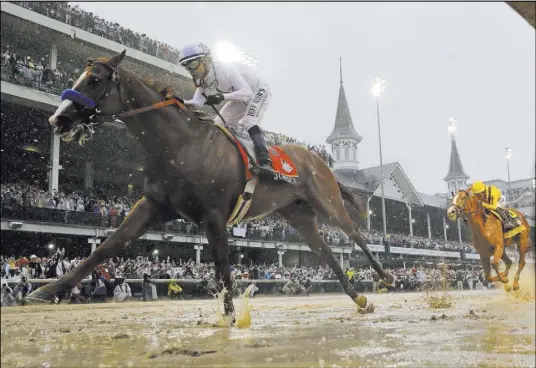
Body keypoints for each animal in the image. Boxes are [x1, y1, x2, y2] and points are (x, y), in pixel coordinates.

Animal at [26, 49, 394, 320]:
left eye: (95, 80)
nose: (58, 119)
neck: (179, 146)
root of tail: (320, 161)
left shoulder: (214, 214)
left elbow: (221, 265)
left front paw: (230, 317)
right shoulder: (153, 206)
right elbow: (106, 247)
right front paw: (46, 290)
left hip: (327, 203)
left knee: (356, 235)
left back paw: (385, 276)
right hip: (299, 216)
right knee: (328, 254)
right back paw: (359, 299)